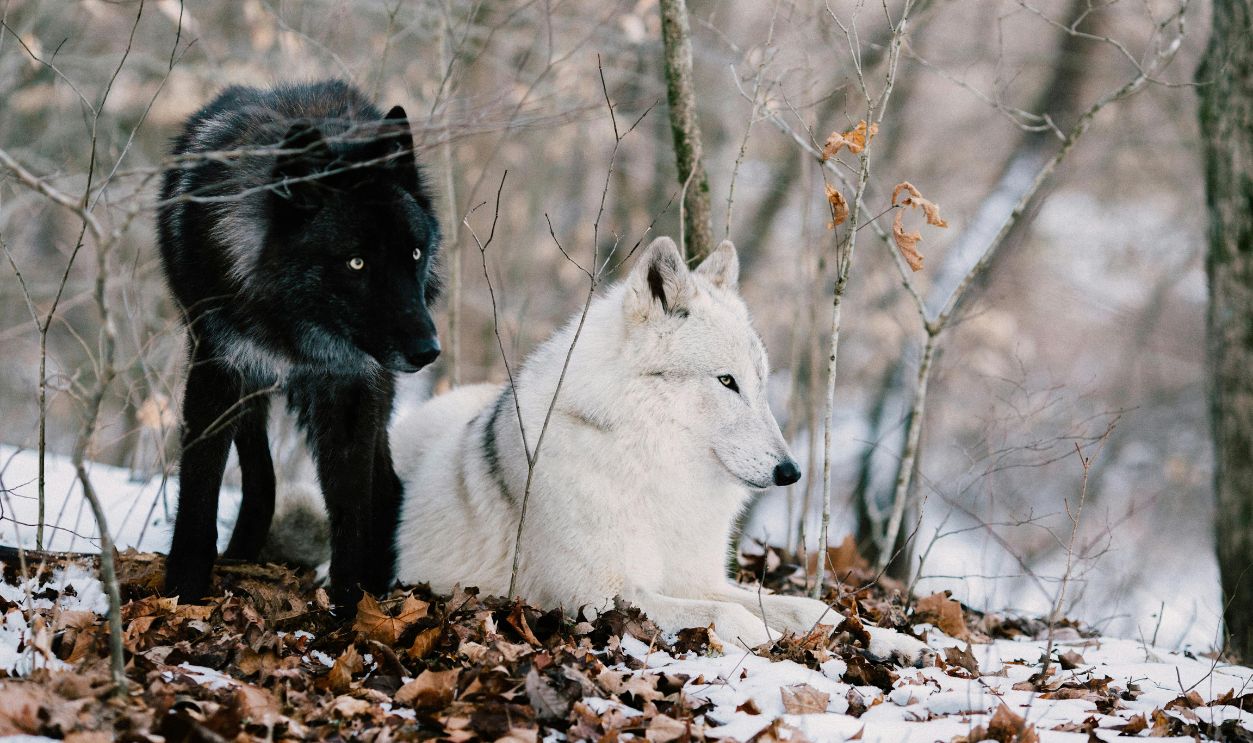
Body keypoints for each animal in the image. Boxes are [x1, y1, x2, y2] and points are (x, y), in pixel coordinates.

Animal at [157, 80, 440, 609]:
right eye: (356, 263)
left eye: (414, 253)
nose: (427, 351)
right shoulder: (218, 369)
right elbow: (201, 489)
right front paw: (184, 590)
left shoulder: (350, 388)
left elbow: (351, 508)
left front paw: (351, 607)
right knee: (261, 474)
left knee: (386, 486)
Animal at [388, 237, 929, 663]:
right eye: (726, 381)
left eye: (760, 383)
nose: (790, 471)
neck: (654, 471)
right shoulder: (597, 594)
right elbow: (730, 615)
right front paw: (778, 643)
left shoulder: (696, 578)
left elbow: (808, 607)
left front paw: (888, 640)